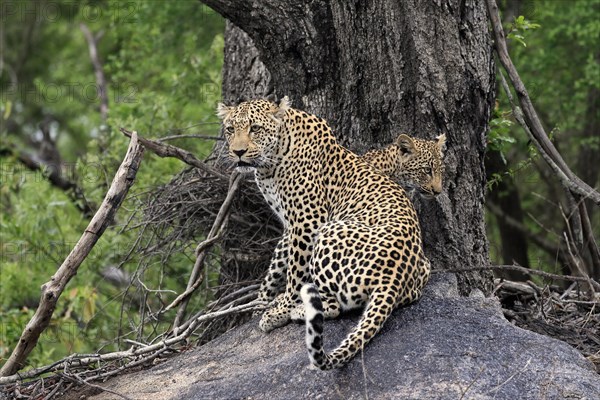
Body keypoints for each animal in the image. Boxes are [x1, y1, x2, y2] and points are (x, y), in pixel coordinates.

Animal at [218, 97, 428, 368]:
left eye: (255, 128)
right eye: (230, 129)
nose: (238, 152)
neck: (270, 163)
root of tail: (393, 276)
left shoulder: (307, 221)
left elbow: (295, 272)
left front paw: (278, 310)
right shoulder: (290, 225)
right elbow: (279, 263)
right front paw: (262, 303)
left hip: (328, 232)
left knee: (333, 306)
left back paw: (299, 309)